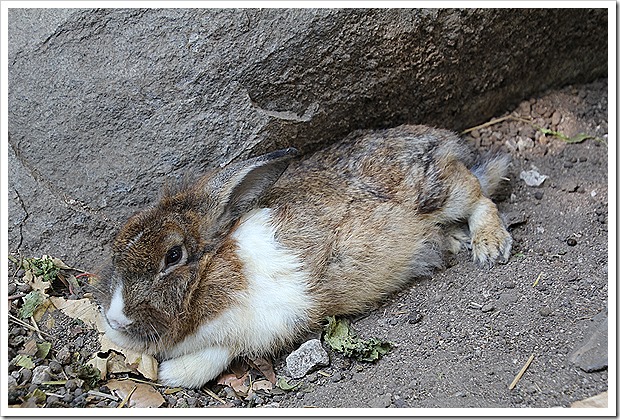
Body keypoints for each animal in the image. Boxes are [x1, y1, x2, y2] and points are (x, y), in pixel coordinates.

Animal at [95, 124, 512, 388]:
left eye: (173, 255)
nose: (114, 318)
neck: (214, 269)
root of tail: (441, 139)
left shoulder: (270, 321)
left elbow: (219, 353)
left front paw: (172, 374)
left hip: (440, 192)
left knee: (479, 193)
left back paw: (490, 246)